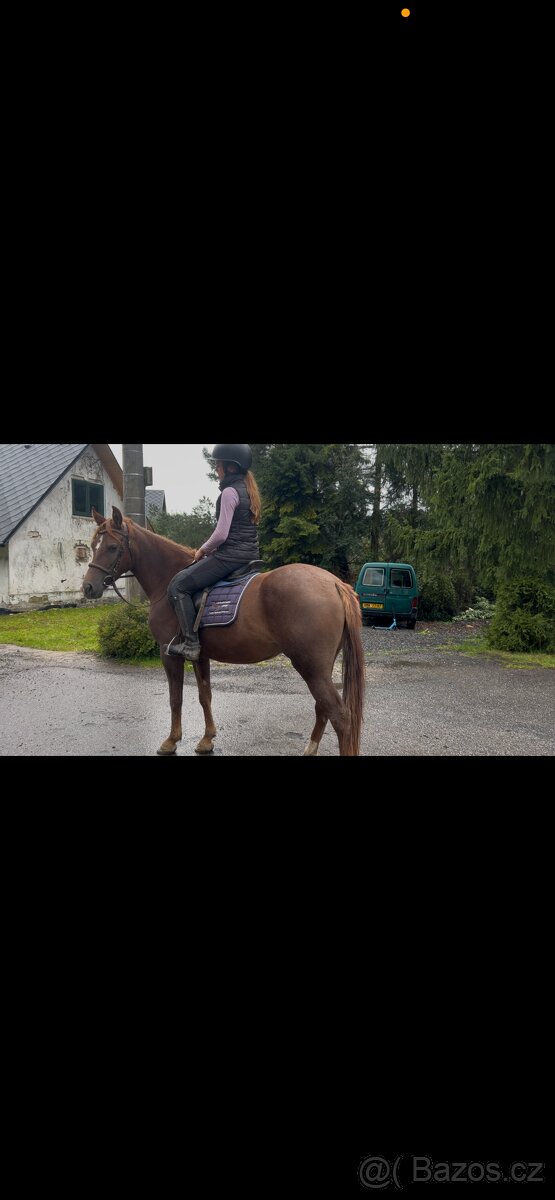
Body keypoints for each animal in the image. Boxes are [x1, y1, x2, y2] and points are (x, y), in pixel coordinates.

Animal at [82, 507, 365, 757]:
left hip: (311, 667)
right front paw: (207, 739)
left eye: (112, 547)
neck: (167, 581)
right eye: (93, 545)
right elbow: (204, 695)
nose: (88, 587)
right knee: (323, 708)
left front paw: (171, 741)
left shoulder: (168, 653)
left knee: (340, 716)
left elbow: (176, 698)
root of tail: (335, 583)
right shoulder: (200, 655)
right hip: (320, 668)